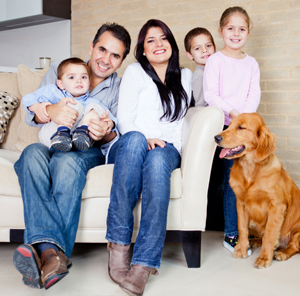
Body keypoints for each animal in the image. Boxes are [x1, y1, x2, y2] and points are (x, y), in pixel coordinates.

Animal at [214, 112, 300, 268]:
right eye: (229, 125)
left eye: (241, 127)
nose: (216, 138)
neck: (250, 167)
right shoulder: (240, 203)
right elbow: (242, 228)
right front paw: (242, 248)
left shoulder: (277, 207)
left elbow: (270, 234)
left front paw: (264, 258)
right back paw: (255, 241)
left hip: (297, 230)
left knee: (294, 246)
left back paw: (282, 253)